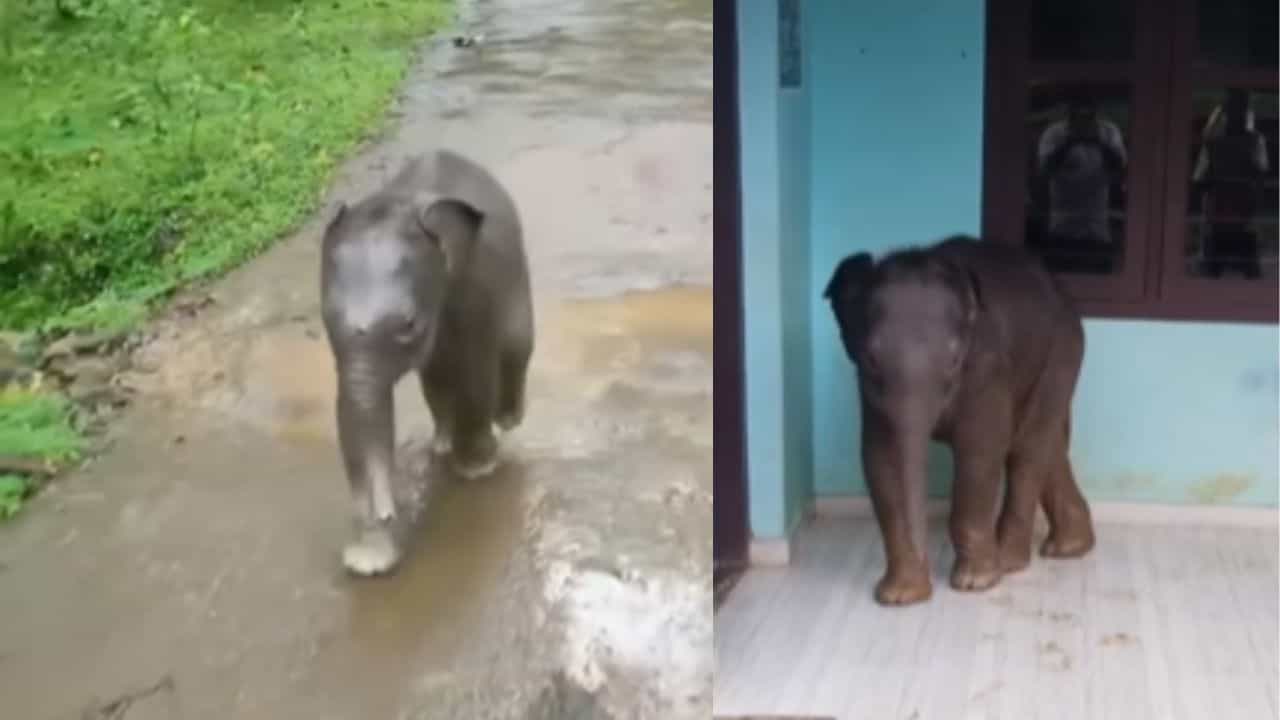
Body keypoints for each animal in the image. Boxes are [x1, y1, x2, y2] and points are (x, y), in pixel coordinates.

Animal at [320, 149, 534, 576]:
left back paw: (506, 421)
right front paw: (369, 561)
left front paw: (476, 469)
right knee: (434, 378)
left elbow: (474, 369)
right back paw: (440, 444)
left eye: (408, 325)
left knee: (516, 347)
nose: (385, 513)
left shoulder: (475, 287)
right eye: (326, 318)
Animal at [823, 235, 1094, 606]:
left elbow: (980, 449)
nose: (923, 587)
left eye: (954, 359)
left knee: (1027, 446)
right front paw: (899, 596)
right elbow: (881, 456)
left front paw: (974, 582)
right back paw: (1067, 548)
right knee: (1047, 442)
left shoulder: (985, 367)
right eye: (871, 358)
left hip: (1062, 352)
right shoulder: (868, 390)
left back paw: (1009, 561)